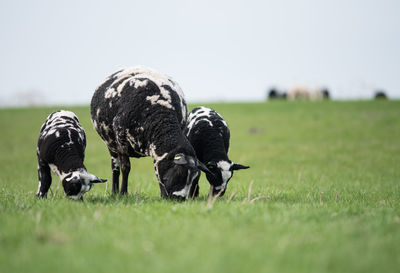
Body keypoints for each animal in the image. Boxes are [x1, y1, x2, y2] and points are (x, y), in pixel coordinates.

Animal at [89, 65, 211, 199]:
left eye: (196, 179)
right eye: (180, 174)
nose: (180, 198)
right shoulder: (121, 142)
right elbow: (125, 167)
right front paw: (123, 193)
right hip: (110, 144)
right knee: (115, 168)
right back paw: (115, 192)